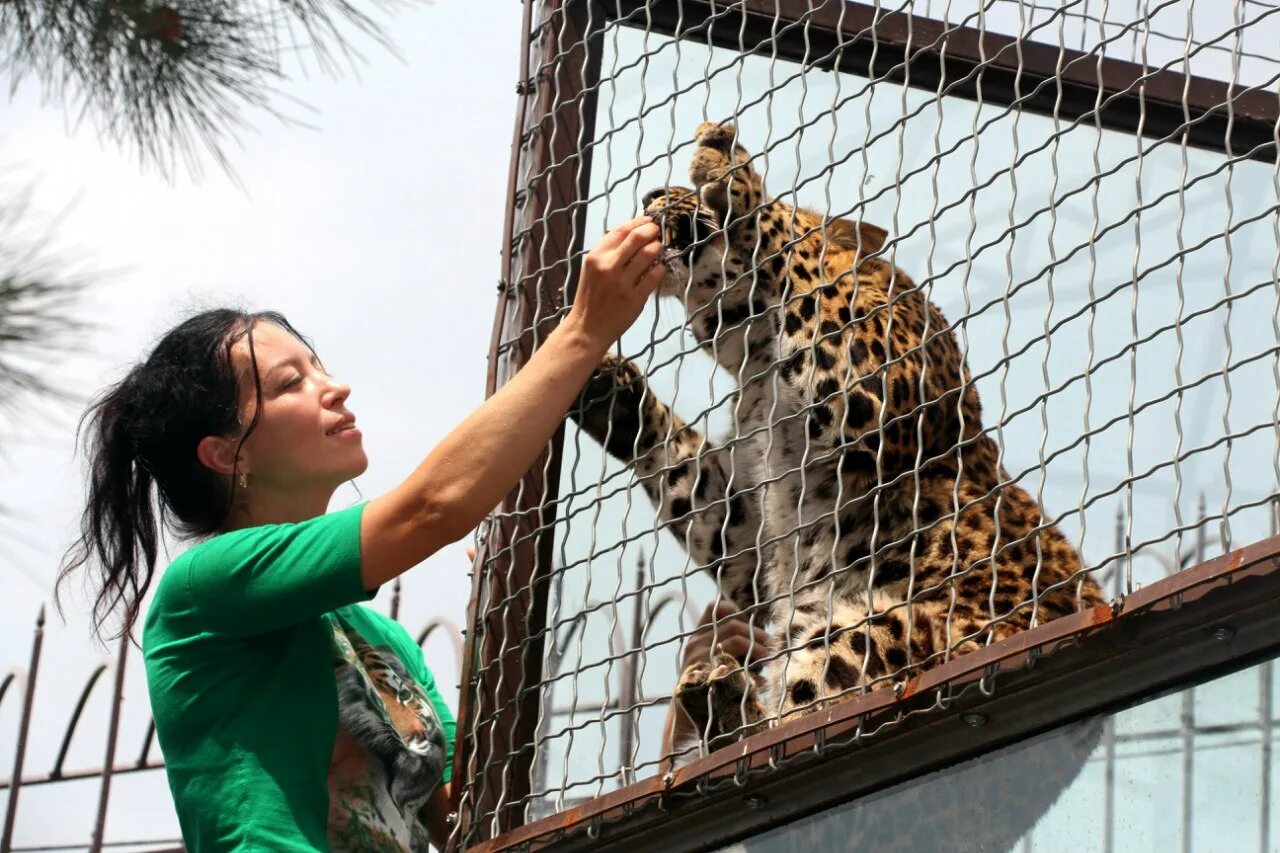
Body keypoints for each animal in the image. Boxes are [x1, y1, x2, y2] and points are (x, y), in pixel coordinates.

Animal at [565, 117, 1105, 758]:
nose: (649, 195)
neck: (762, 365)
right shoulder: (752, 532)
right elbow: (687, 478)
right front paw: (611, 394)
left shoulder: (872, 382)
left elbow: (795, 254)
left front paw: (730, 171)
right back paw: (717, 702)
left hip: (892, 623)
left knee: (811, 716)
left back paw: (723, 703)